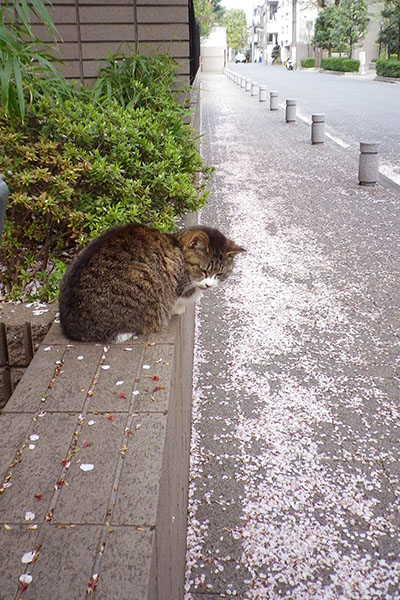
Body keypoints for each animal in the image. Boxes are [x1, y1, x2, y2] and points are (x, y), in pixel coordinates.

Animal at [58, 223, 245, 342]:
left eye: (219, 273)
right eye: (203, 270)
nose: (208, 285)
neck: (178, 246)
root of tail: (72, 327)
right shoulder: (181, 286)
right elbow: (179, 298)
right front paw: (179, 308)